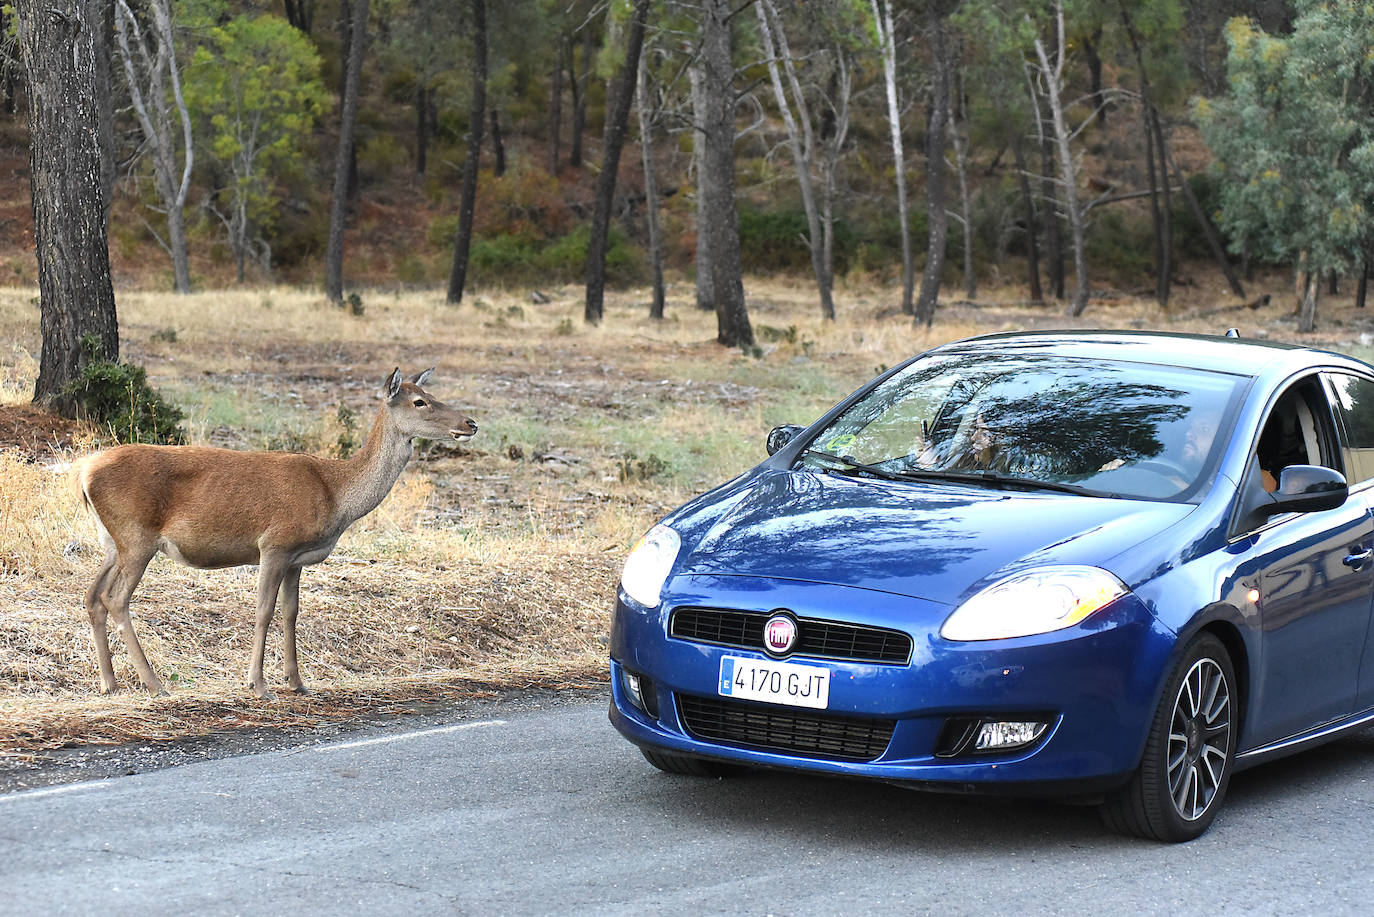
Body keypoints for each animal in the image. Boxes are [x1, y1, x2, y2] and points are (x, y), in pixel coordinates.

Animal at [80, 368, 480, 698]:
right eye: (419, 402)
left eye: (429, 393)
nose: (471, 423)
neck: (337, 496)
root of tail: (84, 475)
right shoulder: (274, 544)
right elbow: (263, 611)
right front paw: (258, 685)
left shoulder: (297, 558)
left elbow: (291, 612)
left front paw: (297, 682)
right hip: (137, 536)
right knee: (115, 598)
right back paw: (154, 683)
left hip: (112, 542)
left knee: (92, 594)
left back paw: (109, 682)